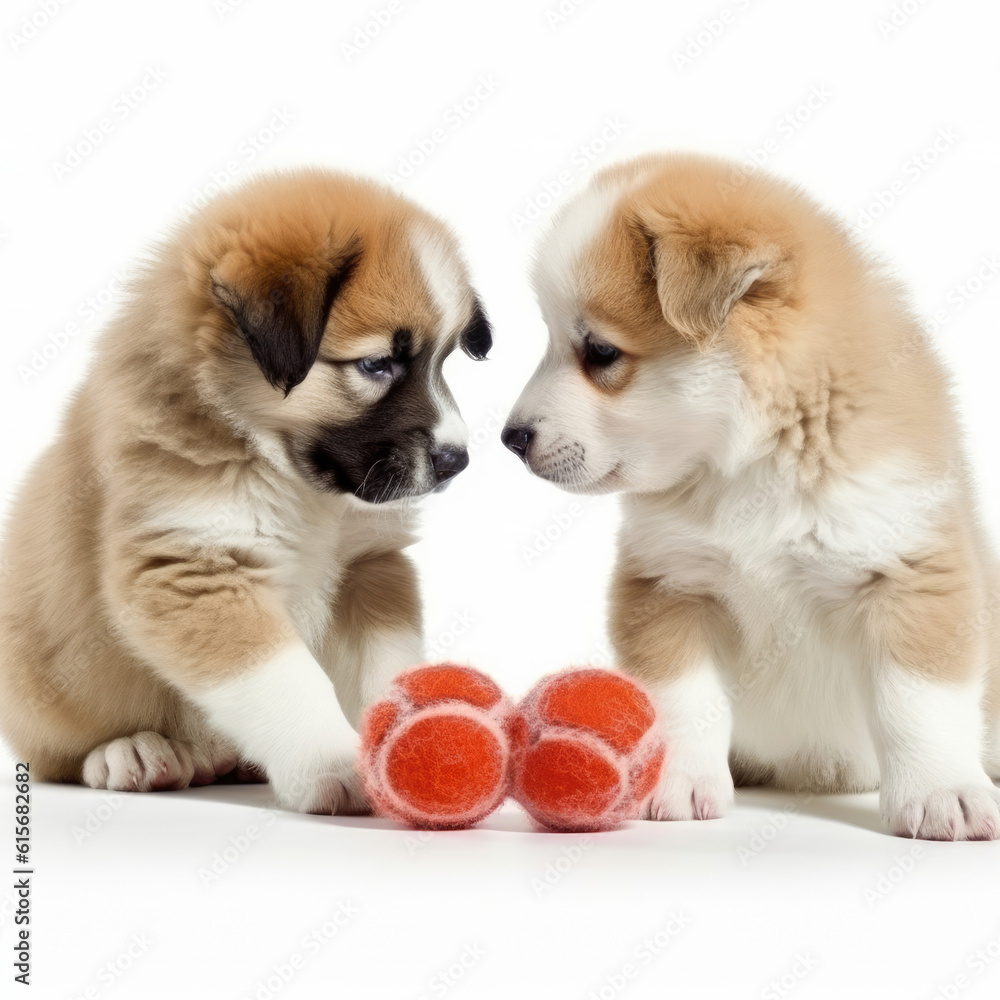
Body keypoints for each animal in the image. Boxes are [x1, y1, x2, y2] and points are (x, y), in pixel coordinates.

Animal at [0, 170, 492, 812]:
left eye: (445, 359)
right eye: (377, 364)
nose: (457, 460)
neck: (294, 480)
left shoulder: (369, 568)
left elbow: (386, 668)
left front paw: (420, 746)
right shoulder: (196, 570)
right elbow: (285, 680)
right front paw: (333, 763)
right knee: (59, 753)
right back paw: (132, 752)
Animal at [504, 154, 1000, 844]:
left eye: (601, 352)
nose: (510, 438)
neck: (753, 460)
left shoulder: (909, 573)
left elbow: (916, 701)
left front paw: (942, 791)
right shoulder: (670, 588)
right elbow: (684, 701)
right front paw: (678, 783)